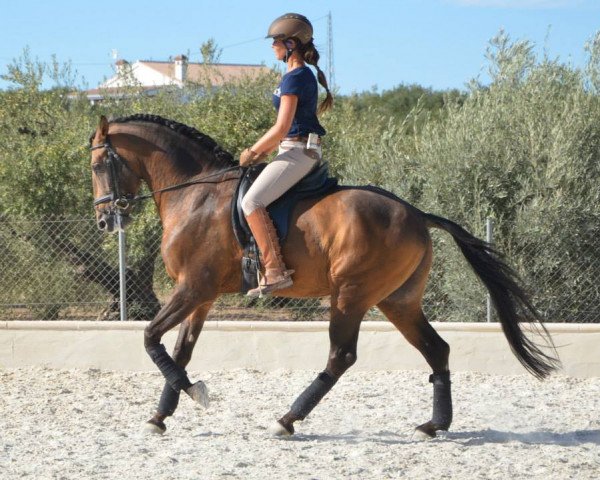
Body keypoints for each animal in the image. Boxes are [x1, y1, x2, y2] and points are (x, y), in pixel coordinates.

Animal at [89, 113, 556, 438]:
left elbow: (150, 338)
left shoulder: (192, 288)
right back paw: (433, 425)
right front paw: (159, 416)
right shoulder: (201, 295)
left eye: (96, 165)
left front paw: (194, 393)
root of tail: (417, 214)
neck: (195, 192)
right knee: (436, 350)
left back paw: (287, 420)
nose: (105, 221)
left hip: (351, 294)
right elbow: (179, 351)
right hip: (398, 300)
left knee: (341, 356)